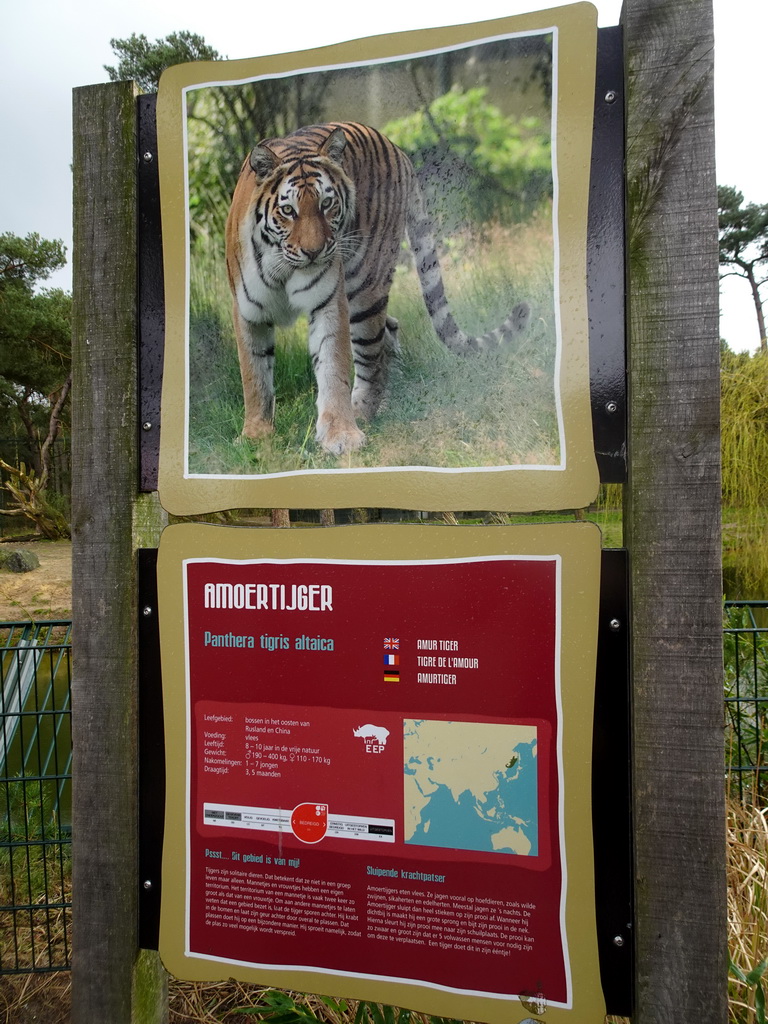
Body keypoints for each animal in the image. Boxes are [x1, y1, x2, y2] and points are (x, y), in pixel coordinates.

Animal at [225, 120, 532, 456]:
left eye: (326, 203)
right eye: (289, 210)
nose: (314, 252)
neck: (284, 265)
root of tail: (396, 147)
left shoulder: (328, 302)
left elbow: (333, 367)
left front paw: (341, 434)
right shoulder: (248, 311)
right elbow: (254, 375)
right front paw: (256, 436)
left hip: (365, 287)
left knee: (371, 357)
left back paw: (362, 411)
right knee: (390, 330)